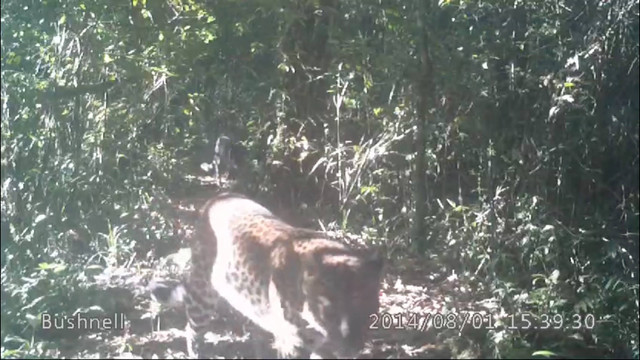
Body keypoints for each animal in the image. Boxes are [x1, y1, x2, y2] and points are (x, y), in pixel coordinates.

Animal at [149, 193, 384, 358]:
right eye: (328, 307)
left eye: (364, 303)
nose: (351, 345)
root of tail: (219, 196)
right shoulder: (293, 345)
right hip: (202, 295)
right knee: (192, 329)